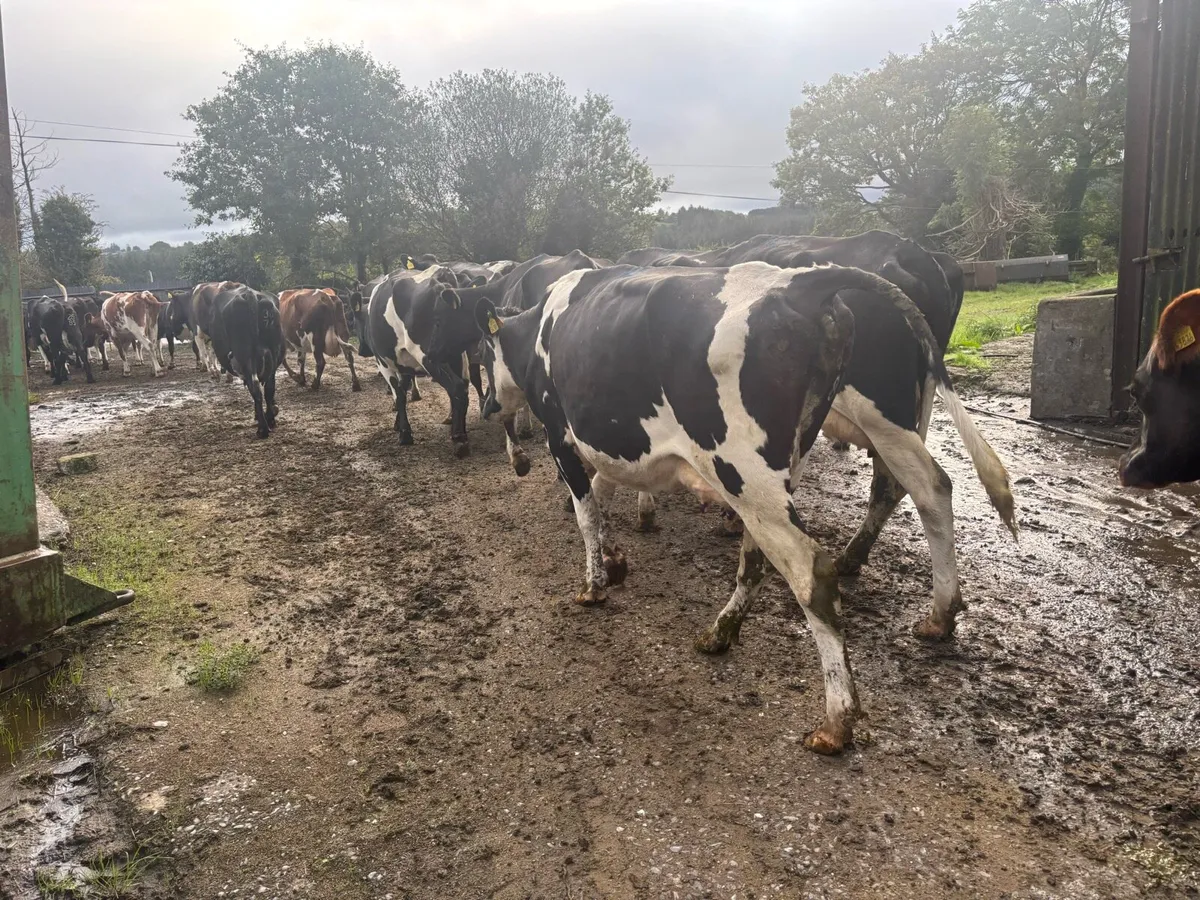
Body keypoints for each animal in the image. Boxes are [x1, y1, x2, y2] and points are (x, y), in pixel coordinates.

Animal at [196, 285, 283, 438]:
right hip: (273, 354)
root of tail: (251, 295)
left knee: (255, 388)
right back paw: (270, 419)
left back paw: (263, 429)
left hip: (245, 356)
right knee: (269, 388)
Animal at [474, 262, 998, 754]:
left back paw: (836, 721)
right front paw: (615, 559)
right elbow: (604, 496)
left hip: (751, 467)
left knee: (813, 568)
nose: (487, 406)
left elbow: (586, 513)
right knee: (912, 496)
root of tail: (800, 284)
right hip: (786, 467)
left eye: (481, 355)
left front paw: (594, 584)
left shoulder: (561, 435)